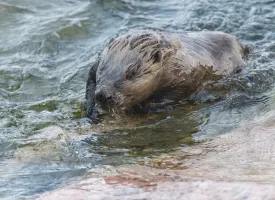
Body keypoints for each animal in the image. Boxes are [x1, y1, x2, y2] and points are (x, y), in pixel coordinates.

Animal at [85, 30, 250, 121]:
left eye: (131, 73)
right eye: (102, 69)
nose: (103, 95)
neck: (170, 57)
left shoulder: (186, 72)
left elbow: (176, 94)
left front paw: (143, 107)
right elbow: (90, 82)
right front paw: (91, 110)